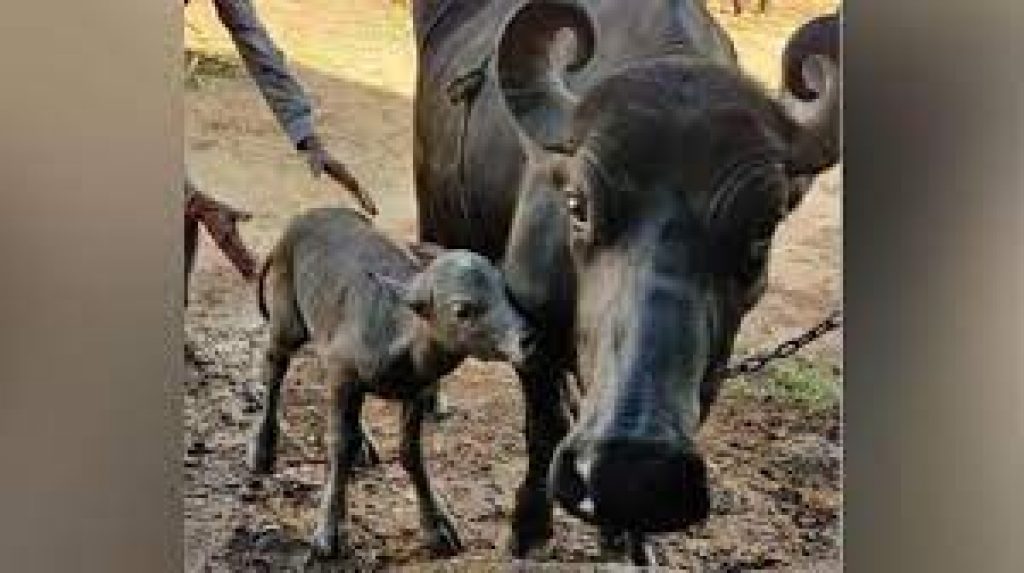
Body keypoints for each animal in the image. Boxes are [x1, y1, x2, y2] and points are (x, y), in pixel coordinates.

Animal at [248, 206, 536, 560]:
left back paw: (362, 442)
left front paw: (437, 528)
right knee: (275, 367)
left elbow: (410, 453)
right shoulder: (342, 375)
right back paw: (263, 450)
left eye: (505, 291)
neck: (399, 341)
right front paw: (330, 531)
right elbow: (339, 447)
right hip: (286, 321)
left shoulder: (416, 392)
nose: (528, 339)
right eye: (462, 310)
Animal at [409, 0, 839, 564]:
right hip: (434, 216)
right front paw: (530, 525)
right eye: (577, 205)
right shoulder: (528, 325)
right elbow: (543, 428)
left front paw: (627, 536)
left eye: (761, 230)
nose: (633, 472)